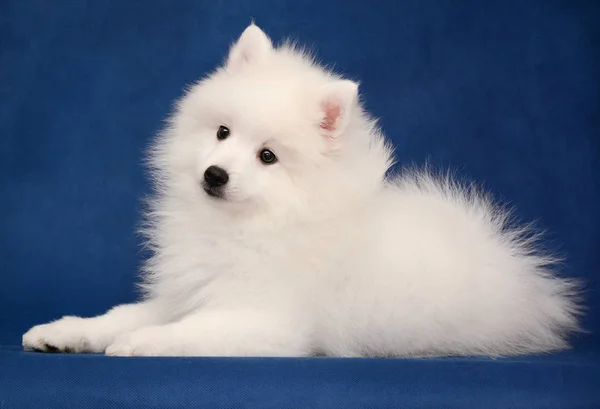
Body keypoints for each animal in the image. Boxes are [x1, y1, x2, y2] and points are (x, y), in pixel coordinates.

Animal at [23, 23, 580, 356]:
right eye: (222, 133)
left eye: (267, 156)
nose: (215, 174)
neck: (251, 223)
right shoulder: (188, 290)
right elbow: (120, 314)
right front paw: (65, 331)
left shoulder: (265, 319)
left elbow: (187, 332)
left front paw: (140, 341)